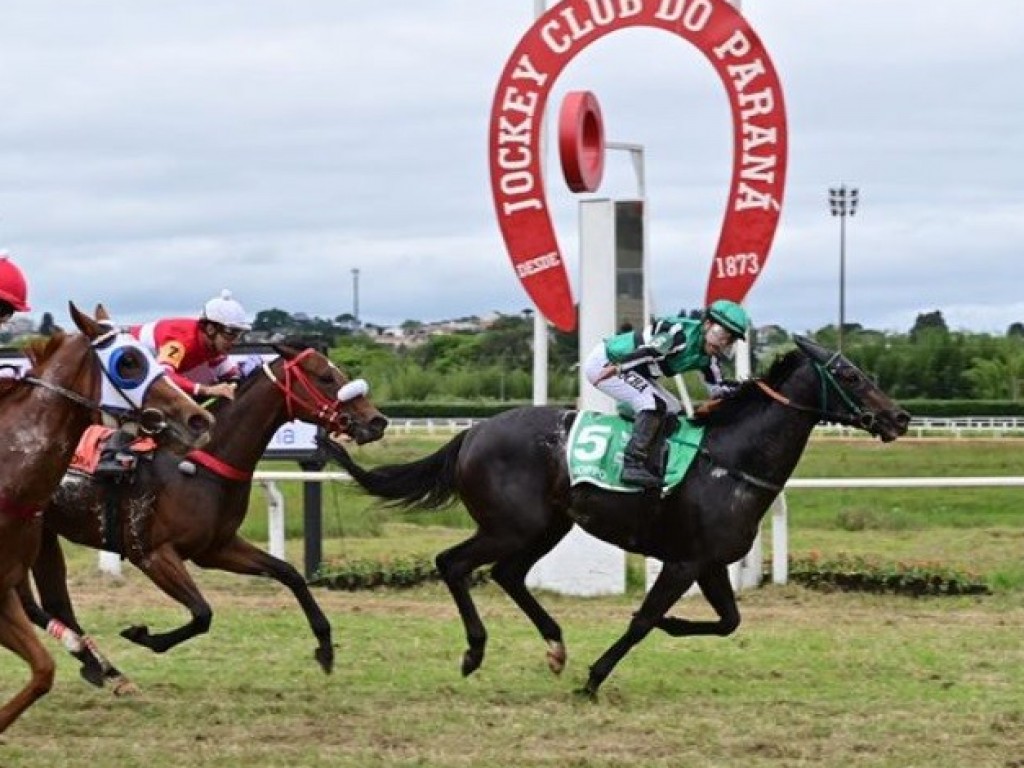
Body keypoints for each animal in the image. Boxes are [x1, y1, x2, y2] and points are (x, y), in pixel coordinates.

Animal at [19, 342, 387, 692]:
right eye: (325, 377)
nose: (377, 421)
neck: (200, 465)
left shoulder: (216, 548)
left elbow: (289, 573)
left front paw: (325, 647)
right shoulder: (152, 553)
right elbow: (202, 613)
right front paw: (143, 635)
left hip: (40, 534)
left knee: (47, 603)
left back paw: (103, 668)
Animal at [315, 335, 909, 696]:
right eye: (850, 376)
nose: (900, 417)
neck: (730, 461)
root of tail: (474, 433)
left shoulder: (709, 563)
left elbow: (728, 622)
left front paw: (670, 626)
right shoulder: (685, 562)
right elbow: (644, 620)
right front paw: (596, 678)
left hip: (548, 525)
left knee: (508, 574)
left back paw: (555, 647)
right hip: (511, 525)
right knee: (453, 563)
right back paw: (475, 652)